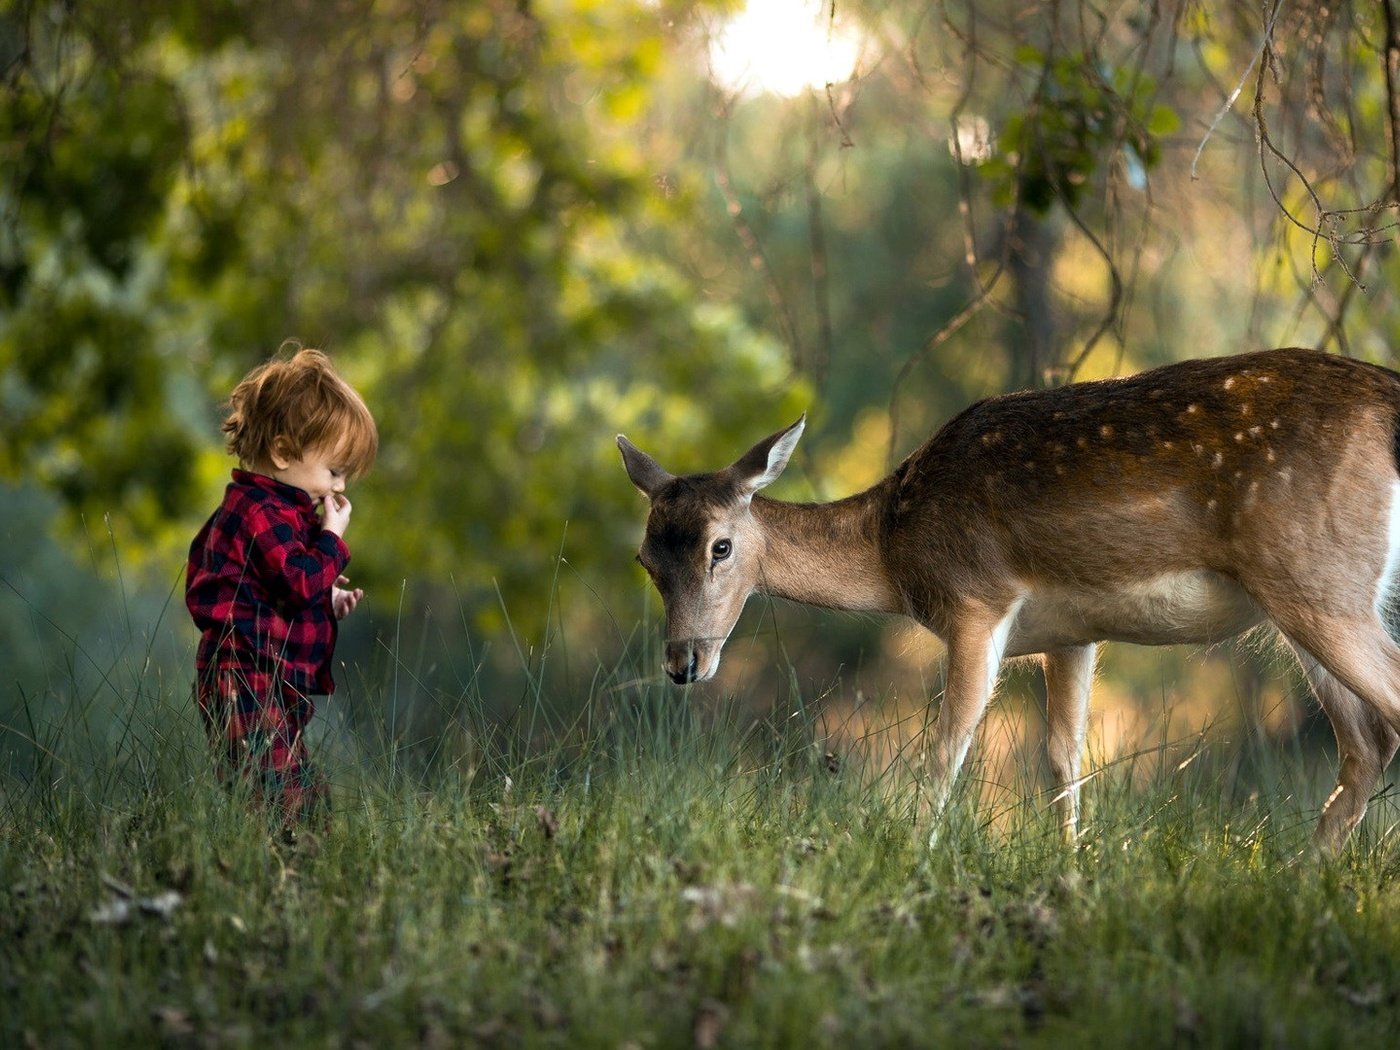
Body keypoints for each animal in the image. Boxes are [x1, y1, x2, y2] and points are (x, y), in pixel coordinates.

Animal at [624, 350, 1400, 851]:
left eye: (721, 546)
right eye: (645, 559)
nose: (683, 663)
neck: (894, 546)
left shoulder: (977, 598)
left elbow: (949, 747)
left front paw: (915, 866)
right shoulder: (1073, 633)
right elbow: (1063, 760)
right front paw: (1072, 876)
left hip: (1319, 579)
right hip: (1308, 595)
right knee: (1366, 744)